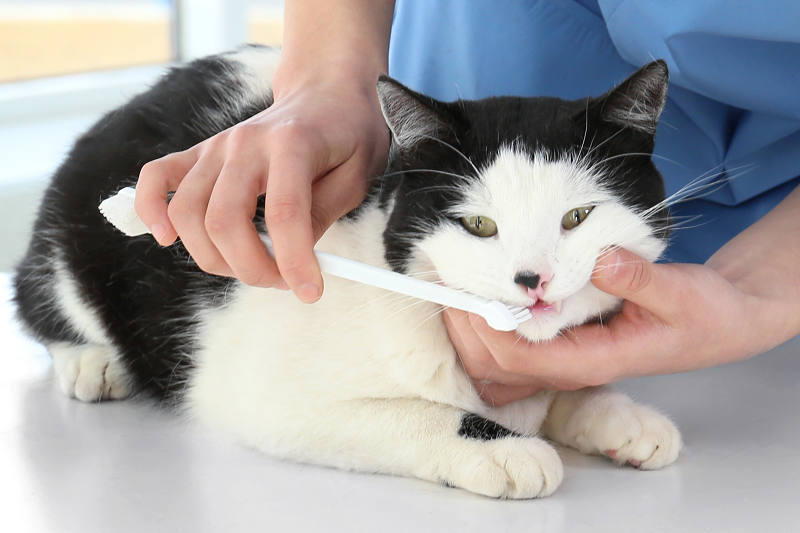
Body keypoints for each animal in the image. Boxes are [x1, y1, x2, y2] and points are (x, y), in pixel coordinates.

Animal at [14, 45, 680, 498]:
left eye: (578, 217)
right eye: (480, 225)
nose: (531, 280)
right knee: (36, 298)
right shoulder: (261, 395)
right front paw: (508, 450)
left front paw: (615, 414)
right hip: (72, 241)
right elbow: (410, 413)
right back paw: (91, 363)